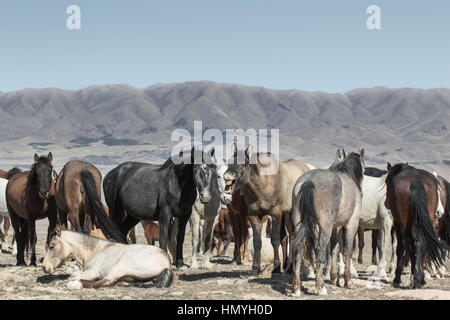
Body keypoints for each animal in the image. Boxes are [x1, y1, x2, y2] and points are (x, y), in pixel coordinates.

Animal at [42, 228, 173, 290]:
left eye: (52, 246)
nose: (44, 267)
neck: (94, 251)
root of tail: (167, 262)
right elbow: (72, 275)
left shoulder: (92, 272)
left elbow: (73, 277)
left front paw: (70, 282)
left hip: (120, 267)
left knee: (107, 281)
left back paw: (75, 285)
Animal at [223, 144, 312, 274]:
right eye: (229, 161)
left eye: (243, 163)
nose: (227, 176)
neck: (263, 183)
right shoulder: (254, 215)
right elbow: (257, 241)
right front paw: (256, 267)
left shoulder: (275, 213)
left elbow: (274, 240)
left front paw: (276, 267)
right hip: (285, 214)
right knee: (285, 238)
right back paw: (287, 265)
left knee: (292, 237)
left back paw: (292, 266)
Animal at [290, 149, 364, 296]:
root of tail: (308, 181)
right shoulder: (351, 224)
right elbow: (347, 251)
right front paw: (347, 281)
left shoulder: (335, 227)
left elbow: (334, 249)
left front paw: (334, 277)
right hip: (325, 227)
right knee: (320, 249)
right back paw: (321, 287)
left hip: (299, 223)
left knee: (299, 250)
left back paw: (297, 289)